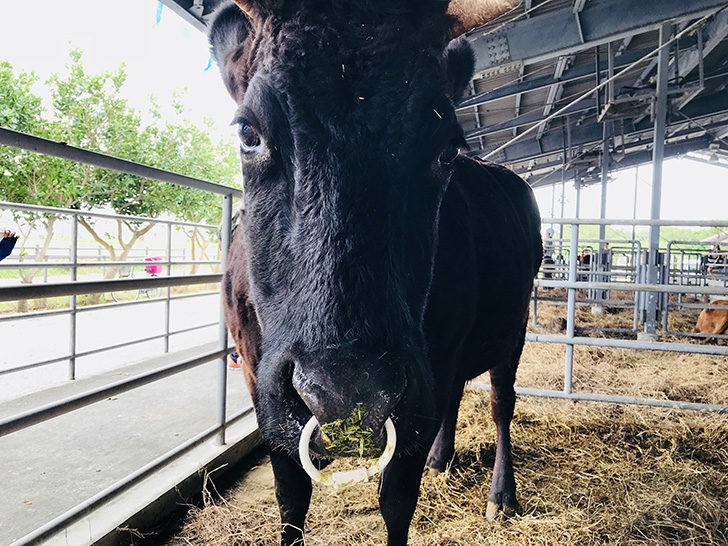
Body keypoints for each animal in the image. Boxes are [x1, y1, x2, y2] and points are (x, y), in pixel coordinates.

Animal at [210, 2, 540, 540]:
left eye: (447, 149)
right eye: (247, 133)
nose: (342, 396)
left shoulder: (421, 386)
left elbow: (397, 502)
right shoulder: (261, 384)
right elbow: (291, 498)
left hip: (512, 330)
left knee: (500, 403)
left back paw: (501, 494)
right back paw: (441, 459)